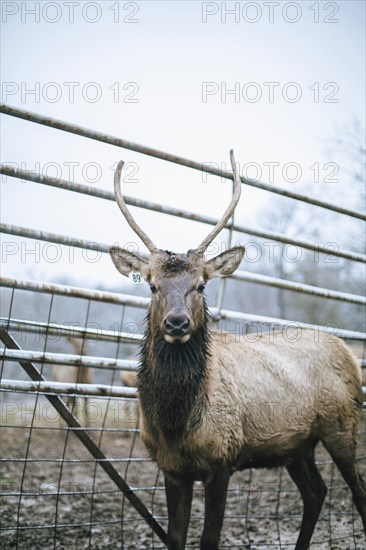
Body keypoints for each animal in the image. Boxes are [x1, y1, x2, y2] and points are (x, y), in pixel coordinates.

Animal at [108, 152, 364, 550]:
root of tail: (349, 354)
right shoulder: (171, 469)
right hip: (298, 445)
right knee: (316, 493)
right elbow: (175, 537)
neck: (175, 424)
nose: (177, 323)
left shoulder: (221, 462)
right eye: (151, 285)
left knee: (356, 492)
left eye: (201, 285)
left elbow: (208, 540)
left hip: (342, 425)